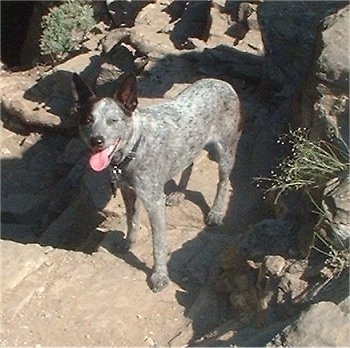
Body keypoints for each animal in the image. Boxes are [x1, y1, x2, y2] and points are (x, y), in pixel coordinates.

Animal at [71, 73, 243, 294]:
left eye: (113, 120)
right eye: (88, 120)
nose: (96, 140)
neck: (135, 148)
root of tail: (221, 82)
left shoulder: (154, 203)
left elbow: (158, 244)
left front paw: (159, 276)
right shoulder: (128, 191)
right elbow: (132, 221)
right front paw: (128, 243)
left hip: (226, 151)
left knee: (223, 181)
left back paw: (216, 211)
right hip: (189, 146)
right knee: (189, 163)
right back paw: (179, 193)